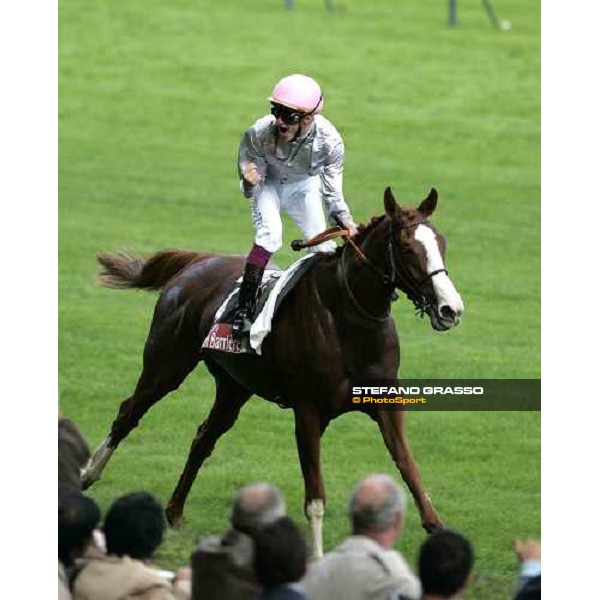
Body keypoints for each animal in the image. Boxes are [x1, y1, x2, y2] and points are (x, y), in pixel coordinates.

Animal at [79, 189, 464, 556]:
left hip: (233, 387)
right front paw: (318, 556)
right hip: (167, 364)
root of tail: (199, 261)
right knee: (129, 413)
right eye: (407, 248)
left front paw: (438, 530)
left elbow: (409, 468)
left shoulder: (385, 402)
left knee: (203, 437)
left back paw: (173, 511)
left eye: (442, 243)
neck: (348, 319)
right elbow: (315, 494)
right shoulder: (307, 409)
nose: (451, 309)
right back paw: (87, 474)